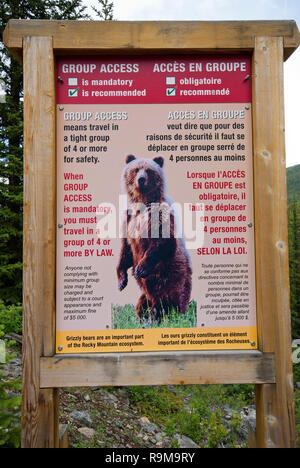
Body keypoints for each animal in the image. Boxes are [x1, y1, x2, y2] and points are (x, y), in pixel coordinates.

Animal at [117, 154, 192, 322]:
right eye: (136, 169)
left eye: (148, 170)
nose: (141, 179)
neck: (142, 203)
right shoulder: (128, 218)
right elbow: (126, 249)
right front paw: (121, 281)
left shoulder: (160, 214)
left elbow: (163, 242)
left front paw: (140, 269)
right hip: (148, 292)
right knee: (142, 303)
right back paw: (143, 317)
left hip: (170, 278)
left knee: (164, 301)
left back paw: (157, 317)